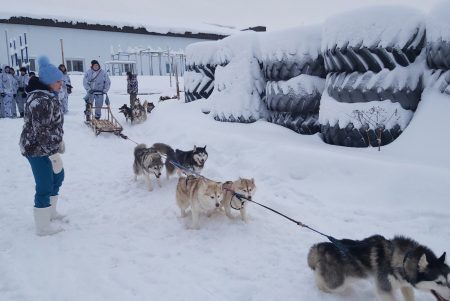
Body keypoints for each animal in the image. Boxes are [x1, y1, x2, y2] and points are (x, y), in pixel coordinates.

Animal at [308, 234, 450, 300]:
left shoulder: (405, 285)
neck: (402, 259)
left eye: (448, 281)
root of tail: (320, 246)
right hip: (337, 284)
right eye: (438, 282)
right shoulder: (384, 289)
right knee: (326, 283)